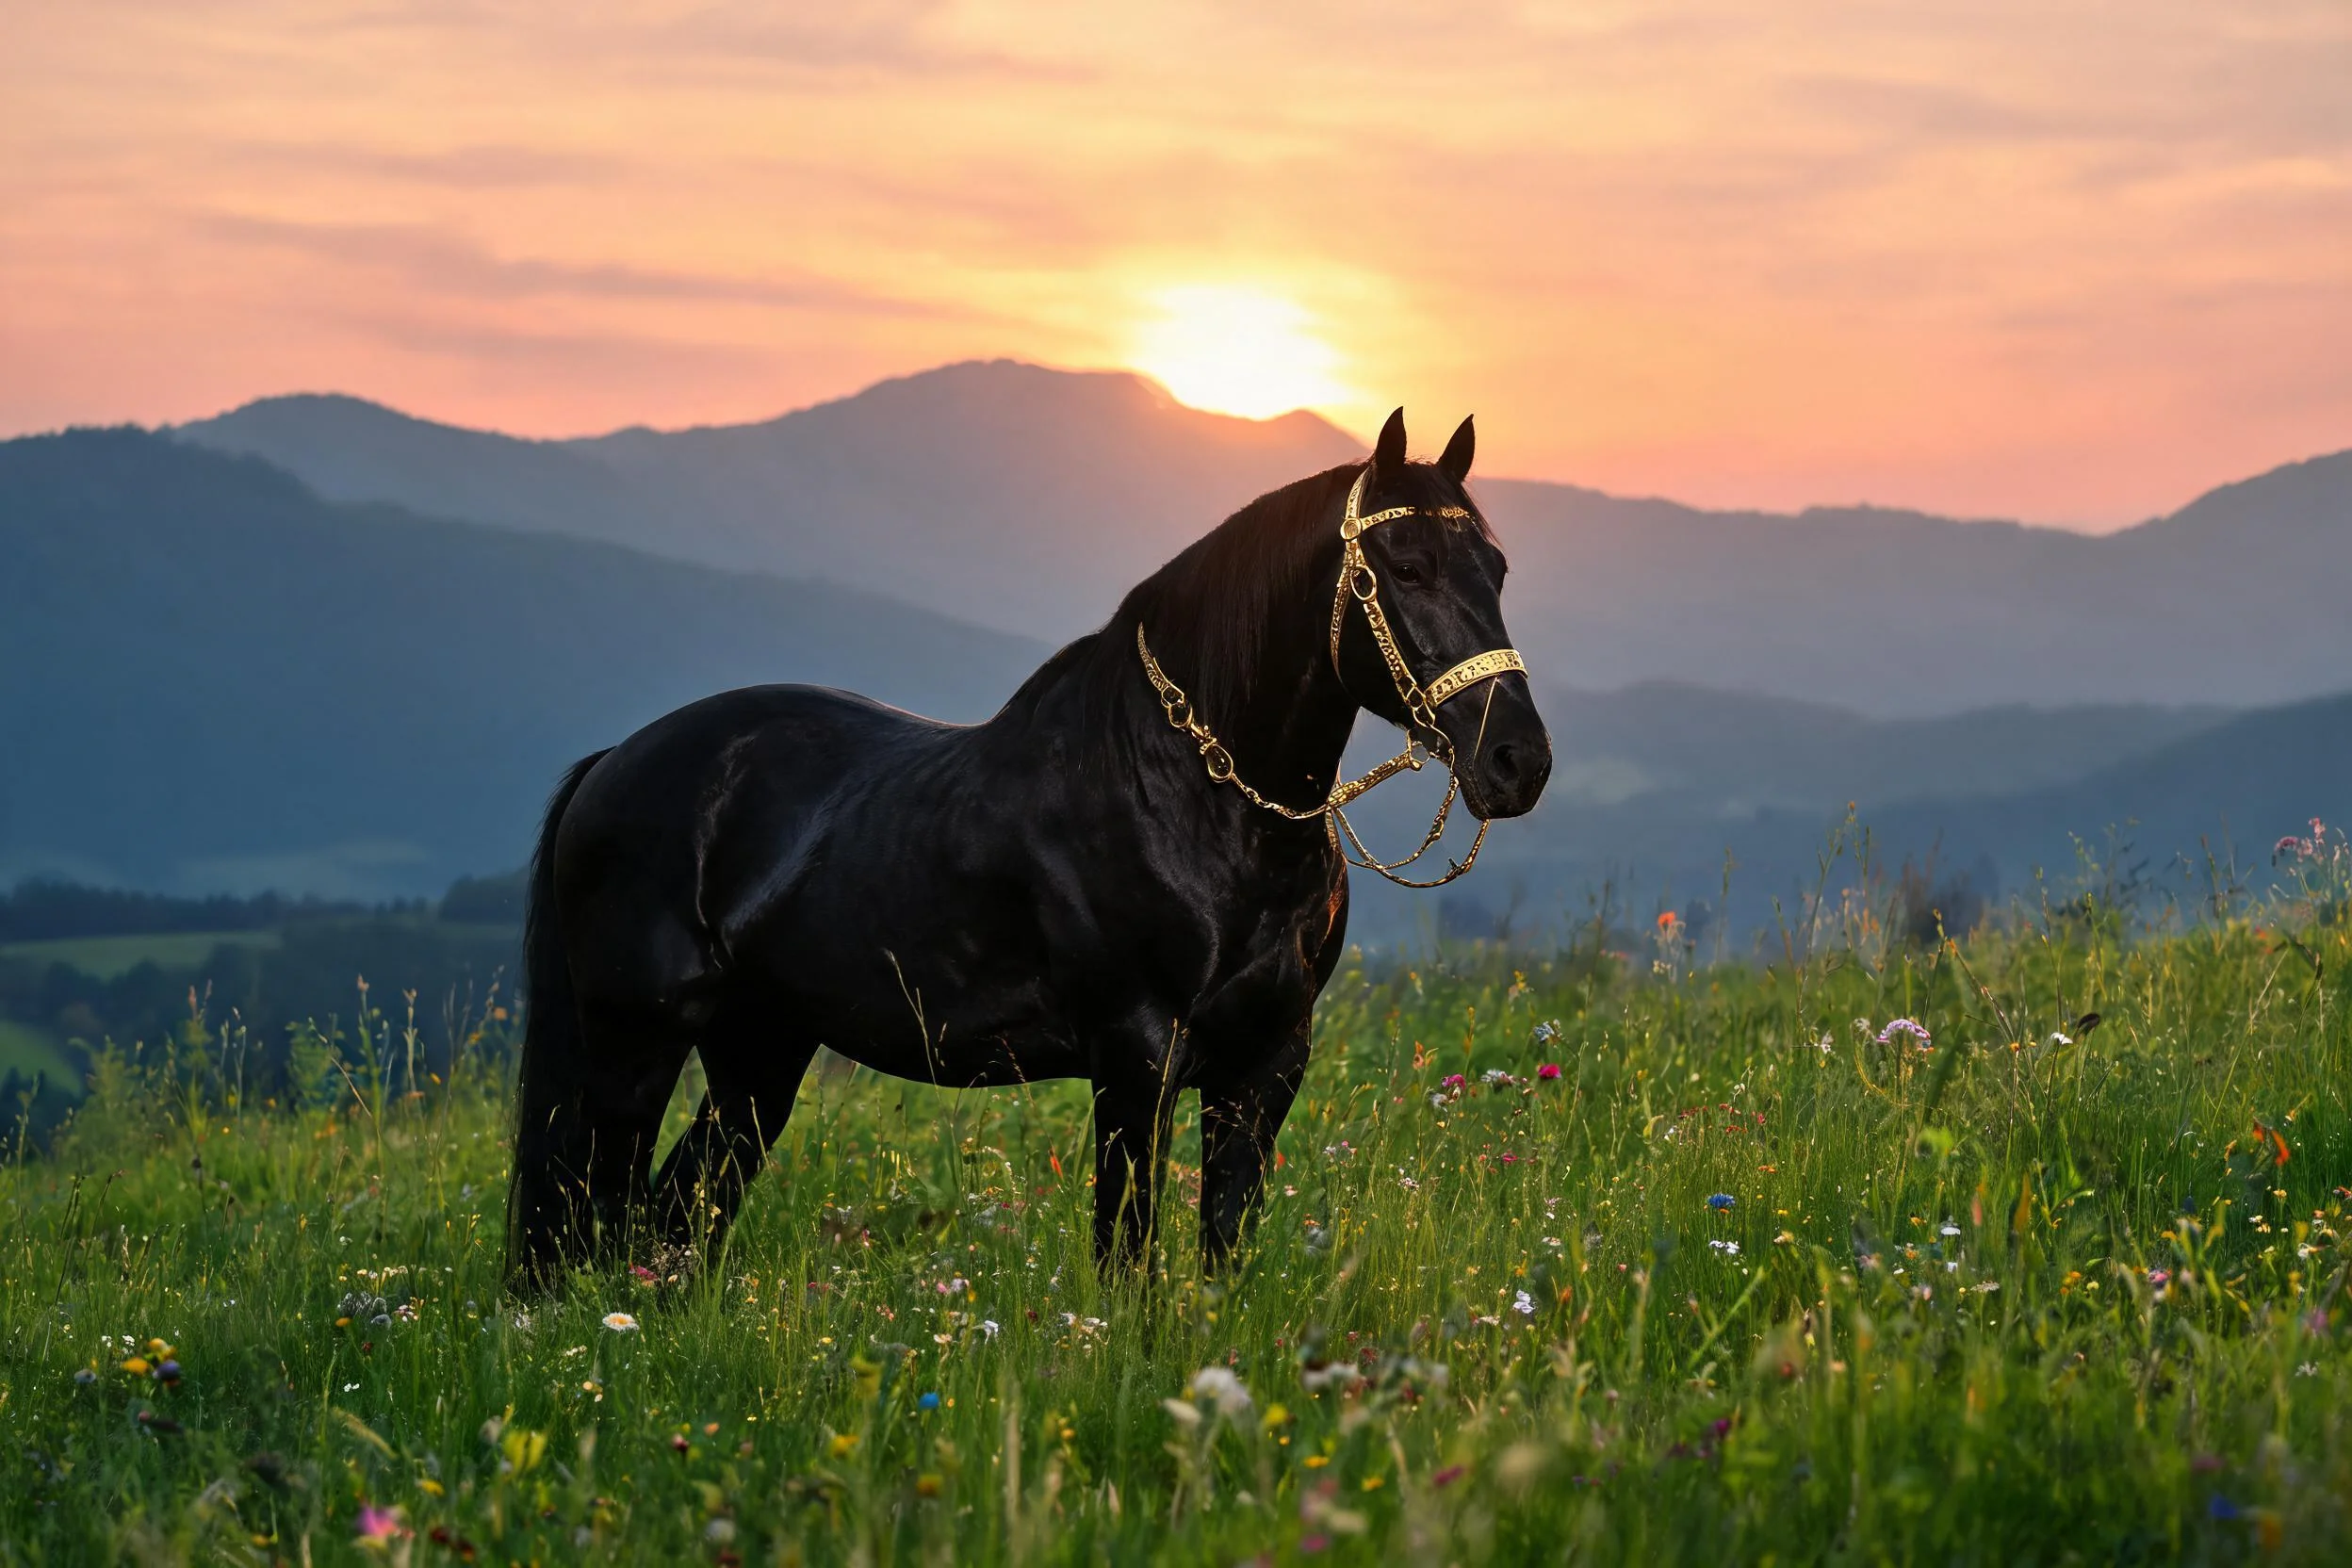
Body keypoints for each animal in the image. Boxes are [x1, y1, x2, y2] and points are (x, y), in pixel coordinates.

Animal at [503, 408, 1551, 1291]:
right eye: (1403, 567)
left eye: (1498, 568)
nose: (1518, 760)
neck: (1194, 794)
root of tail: (617, 761)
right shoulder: (1136, 1056)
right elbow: (1127, 1262)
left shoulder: (1266, 1065)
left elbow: (1222, 1257)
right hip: (633, 1048)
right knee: (592, 1221)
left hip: (758, 1052)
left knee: (673, 1219)